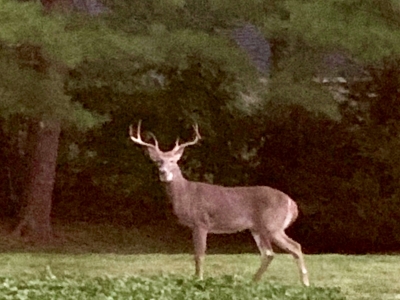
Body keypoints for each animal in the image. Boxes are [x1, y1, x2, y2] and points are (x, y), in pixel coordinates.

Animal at [130, 120, 310, 286]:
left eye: (173, 161)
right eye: (158, 161)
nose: (163, 172)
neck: (187, 194)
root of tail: (292, 203)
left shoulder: (201, 222)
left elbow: (199, 254)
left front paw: (199, 280)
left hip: (273, 224)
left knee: (295, 246)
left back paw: (305, 283)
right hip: (257, 228)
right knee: (269, 253)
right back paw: (252, 282)